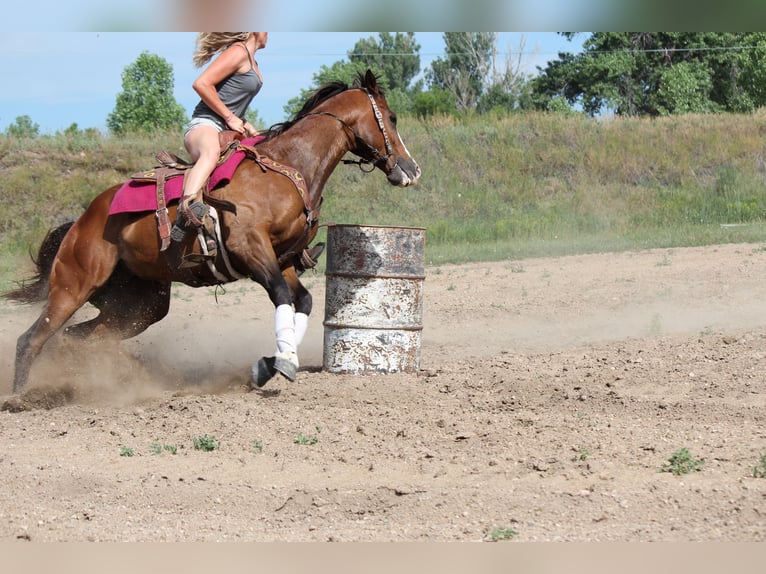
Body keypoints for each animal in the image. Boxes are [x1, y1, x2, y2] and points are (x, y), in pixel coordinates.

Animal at [3, 69, 421, 395]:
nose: (411, 169)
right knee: (32, 339)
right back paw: (21, 397)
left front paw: (273, 362)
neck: (288, 168)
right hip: (74, 284)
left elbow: (300, 301)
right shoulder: (250, 248)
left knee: (78, 337)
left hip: (141, 303)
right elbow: (282, 296)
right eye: (392, 117)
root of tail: (81, 219)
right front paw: (278, 364)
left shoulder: (282, 257)